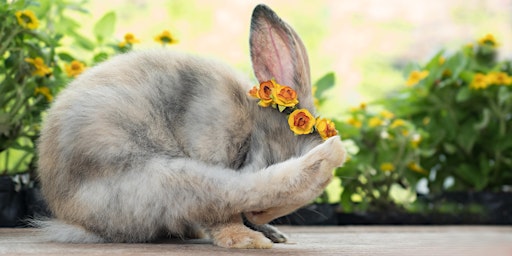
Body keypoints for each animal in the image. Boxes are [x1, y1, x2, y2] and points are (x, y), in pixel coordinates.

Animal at [36, 3, 346, 248]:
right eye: (274, 154)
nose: (257, 216)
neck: (250, 121)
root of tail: (75, 220)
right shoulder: (210, 141)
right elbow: (225, 213)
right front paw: (246, 235)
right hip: (166, 179)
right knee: (233, 192)